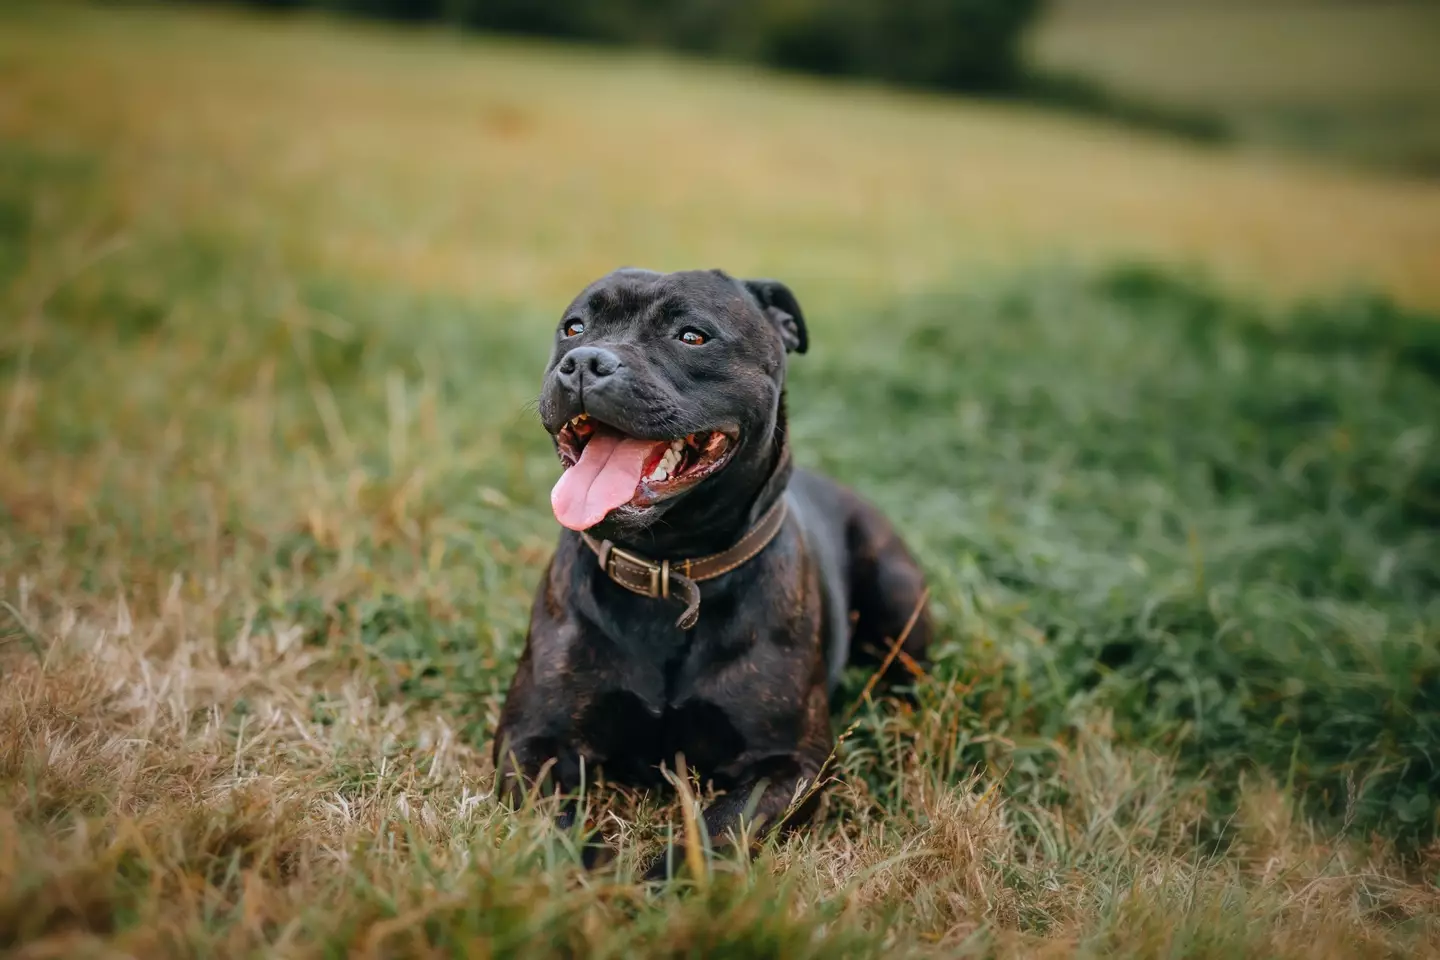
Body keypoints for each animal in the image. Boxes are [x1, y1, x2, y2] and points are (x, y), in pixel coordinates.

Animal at [495, 269, 933, 880]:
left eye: (692, 337)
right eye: (574, 328)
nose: (584, 362)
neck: (668, 573)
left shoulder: (790, 763)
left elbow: (718, 829)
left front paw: (660, 883)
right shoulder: (529, 742)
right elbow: (558, 827)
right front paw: (597, 877)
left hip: (897, 596)